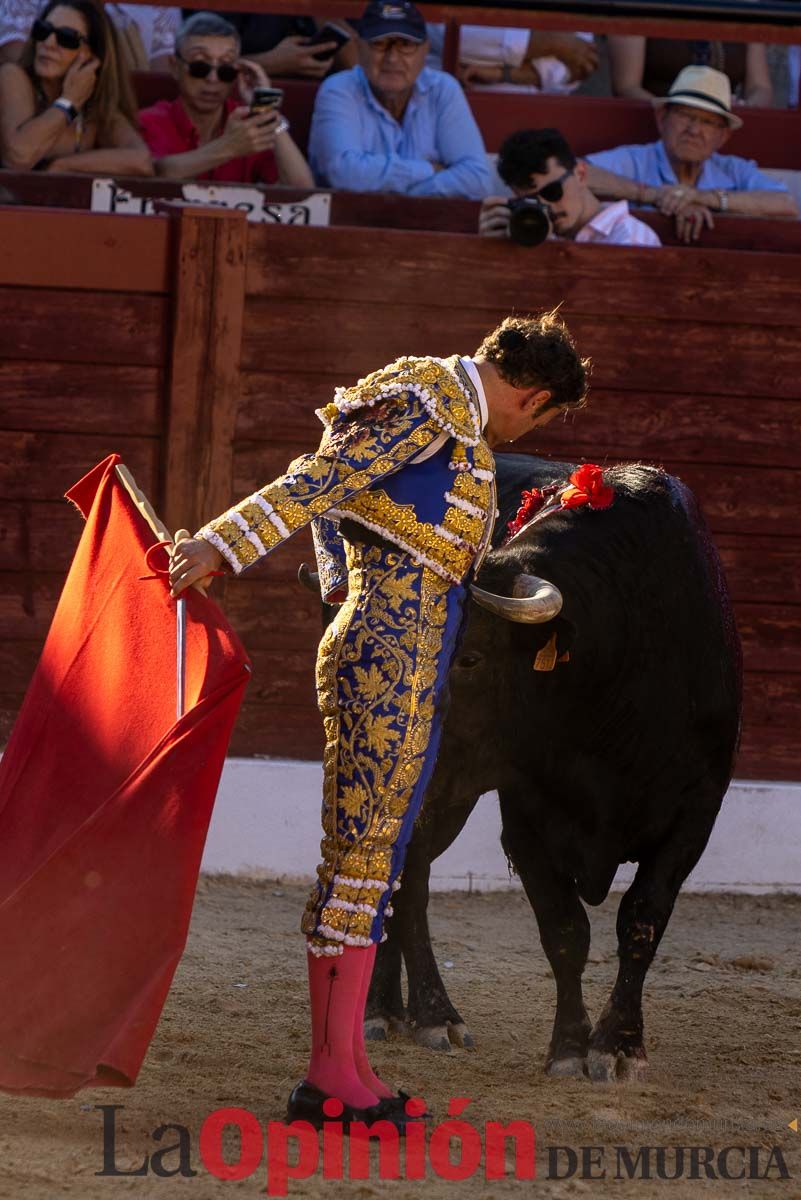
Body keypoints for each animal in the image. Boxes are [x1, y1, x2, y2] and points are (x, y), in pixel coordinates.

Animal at [304, 453, 738, 1084]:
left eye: (470, 657)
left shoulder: (696, 814)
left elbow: (642, 920)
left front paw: (619, 1046)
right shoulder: (526, 818)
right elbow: (564, 930)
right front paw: (570, 1048)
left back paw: (394, 1007)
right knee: (408, 882)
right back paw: (421, 1013)